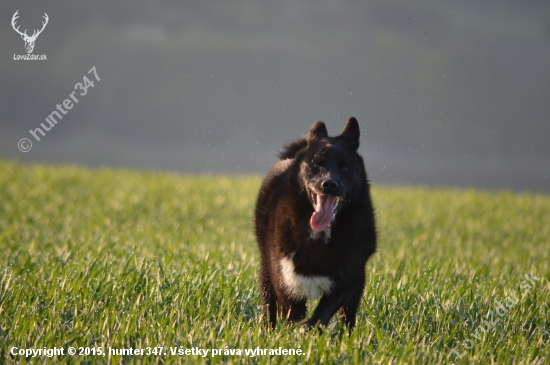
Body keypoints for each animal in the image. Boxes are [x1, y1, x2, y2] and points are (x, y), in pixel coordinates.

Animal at [256, 116, 378, 330]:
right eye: (317, 164)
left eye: (345, 168)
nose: (329, 184)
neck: (320, 235)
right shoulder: (283, 276)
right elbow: (292, 311)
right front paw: (292, 331)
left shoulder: (350, 279)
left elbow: (322, 313)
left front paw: (307, 330)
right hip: (266, 269)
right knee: (269, 305)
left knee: (348, 316)